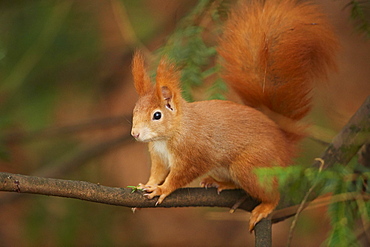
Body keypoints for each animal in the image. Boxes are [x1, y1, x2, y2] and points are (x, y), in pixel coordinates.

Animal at [130, 0, 338, 232]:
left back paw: (265, 206)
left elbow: (180, 177)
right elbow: (157, 172)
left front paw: (162, 189)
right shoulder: (159, 157)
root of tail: (284, 144)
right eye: (135, 110)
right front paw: (147, 185)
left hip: (248, 167)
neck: (169, 135)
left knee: (272, 194)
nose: (135, 134)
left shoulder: (193, 154)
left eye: (157, 115)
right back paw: (220, 183)